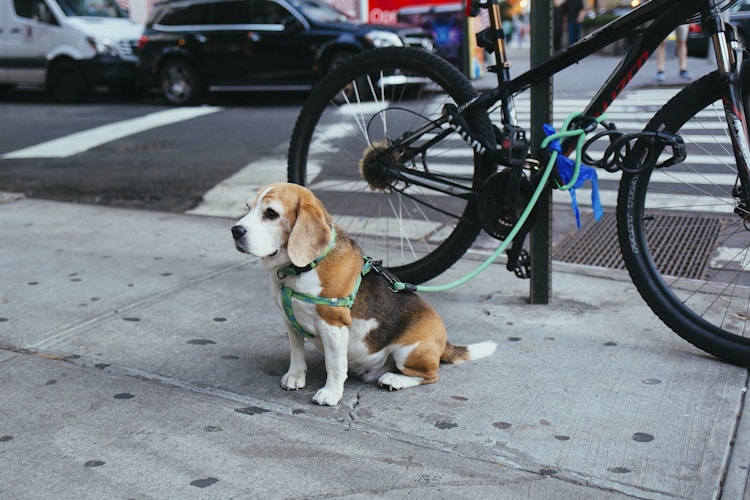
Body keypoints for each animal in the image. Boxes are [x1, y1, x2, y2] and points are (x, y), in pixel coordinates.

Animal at [232, 184, 496, 406]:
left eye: (271, 213)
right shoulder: (290, 320)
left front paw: (330, 393)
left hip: (408, 352)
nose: (235, 230)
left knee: (431, 376)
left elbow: (335, 365)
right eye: (247, 207)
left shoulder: (333, 325)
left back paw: (395, 379)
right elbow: (297, 352)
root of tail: (444, 341)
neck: (299, 270)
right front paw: (296, 376)